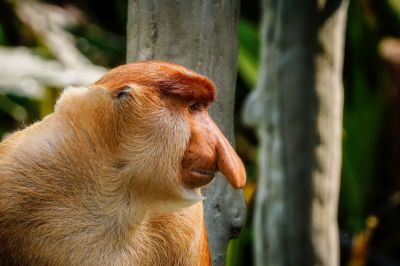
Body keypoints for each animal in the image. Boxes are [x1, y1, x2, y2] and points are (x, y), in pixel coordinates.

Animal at [0, 61, 245, 264]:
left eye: (201, 108)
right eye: (193, 107)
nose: (223, 151)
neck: (115, 193)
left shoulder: (186, 221)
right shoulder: (17, 168)